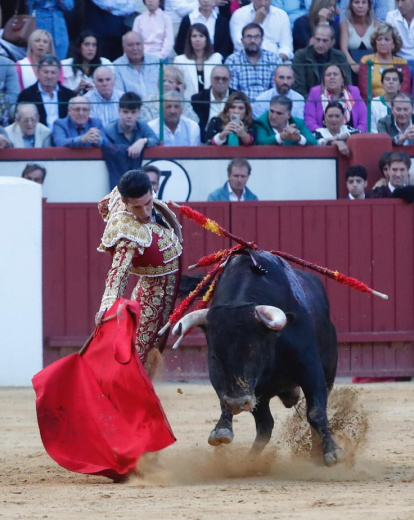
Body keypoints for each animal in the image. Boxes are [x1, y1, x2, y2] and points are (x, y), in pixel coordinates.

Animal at [175, 250, 346, 466]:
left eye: (253, 351)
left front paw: (332, 452)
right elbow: (226, 401)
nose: (238, 403)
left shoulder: (311, 370)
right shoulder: (237, 384)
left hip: (327, 372)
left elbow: (316, 413)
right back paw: (249, 459)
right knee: (265, 425)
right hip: (260, 395)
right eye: (215, 356)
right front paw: (221, 431)